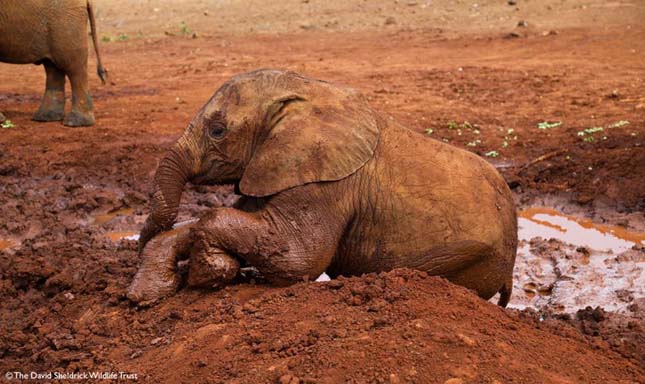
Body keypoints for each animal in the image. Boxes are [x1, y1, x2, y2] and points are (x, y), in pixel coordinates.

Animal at [130, 70, 520, 306]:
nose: (136, 244)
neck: (308, 89)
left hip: (471, 260)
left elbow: (298, 256)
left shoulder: (329, 182)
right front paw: (146, 294)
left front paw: (207, 273)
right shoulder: (281, 168)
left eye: (217, 131)